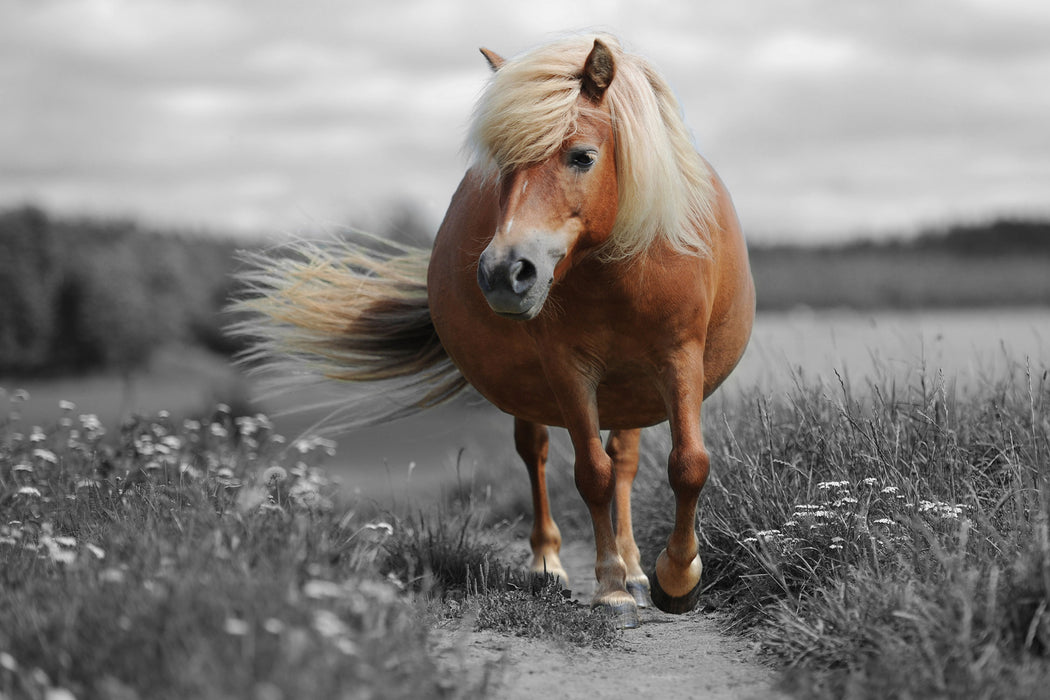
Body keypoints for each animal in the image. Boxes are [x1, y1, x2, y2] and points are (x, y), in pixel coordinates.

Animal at [233, 34, 751, 629]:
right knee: (538, 454)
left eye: (582, 156)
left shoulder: (679, 358)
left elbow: (687, 465)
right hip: (539, 391)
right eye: (503, 164)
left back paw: (638, 569)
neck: (617, 268)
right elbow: (590, 473)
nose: (506, 273)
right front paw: (611, 587)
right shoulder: (568, 369)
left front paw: (675, 579)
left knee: (625, 459)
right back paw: (550, 566)